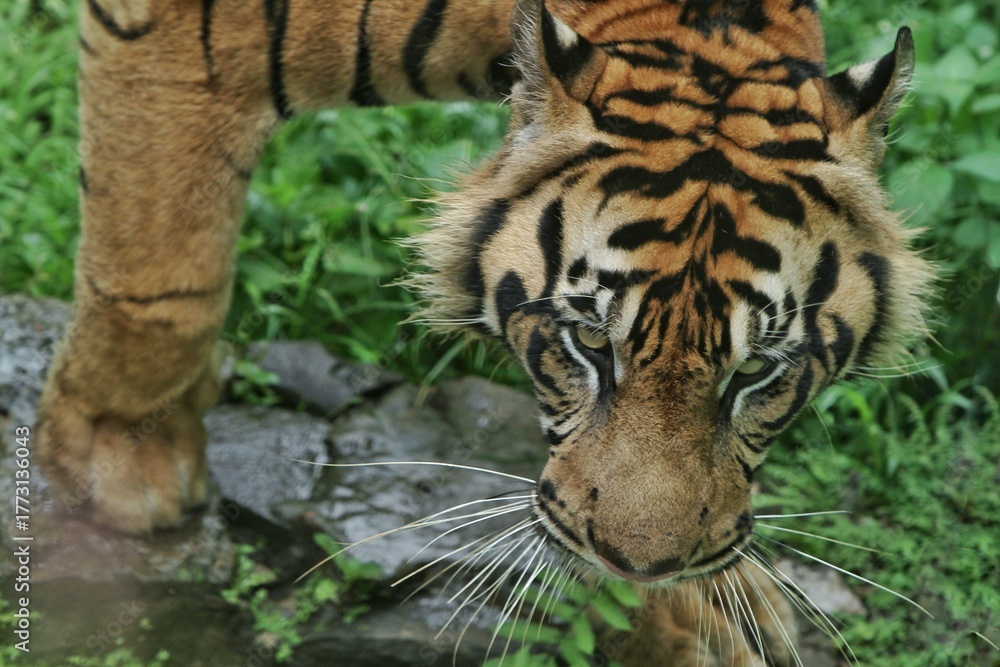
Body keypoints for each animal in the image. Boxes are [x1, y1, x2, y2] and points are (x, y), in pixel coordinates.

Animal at [36, 0, 932, 664]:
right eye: (590, 344)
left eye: (755, 374)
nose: (636, 562)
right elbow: (160, 274)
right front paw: (122, 463)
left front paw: (696, 616)